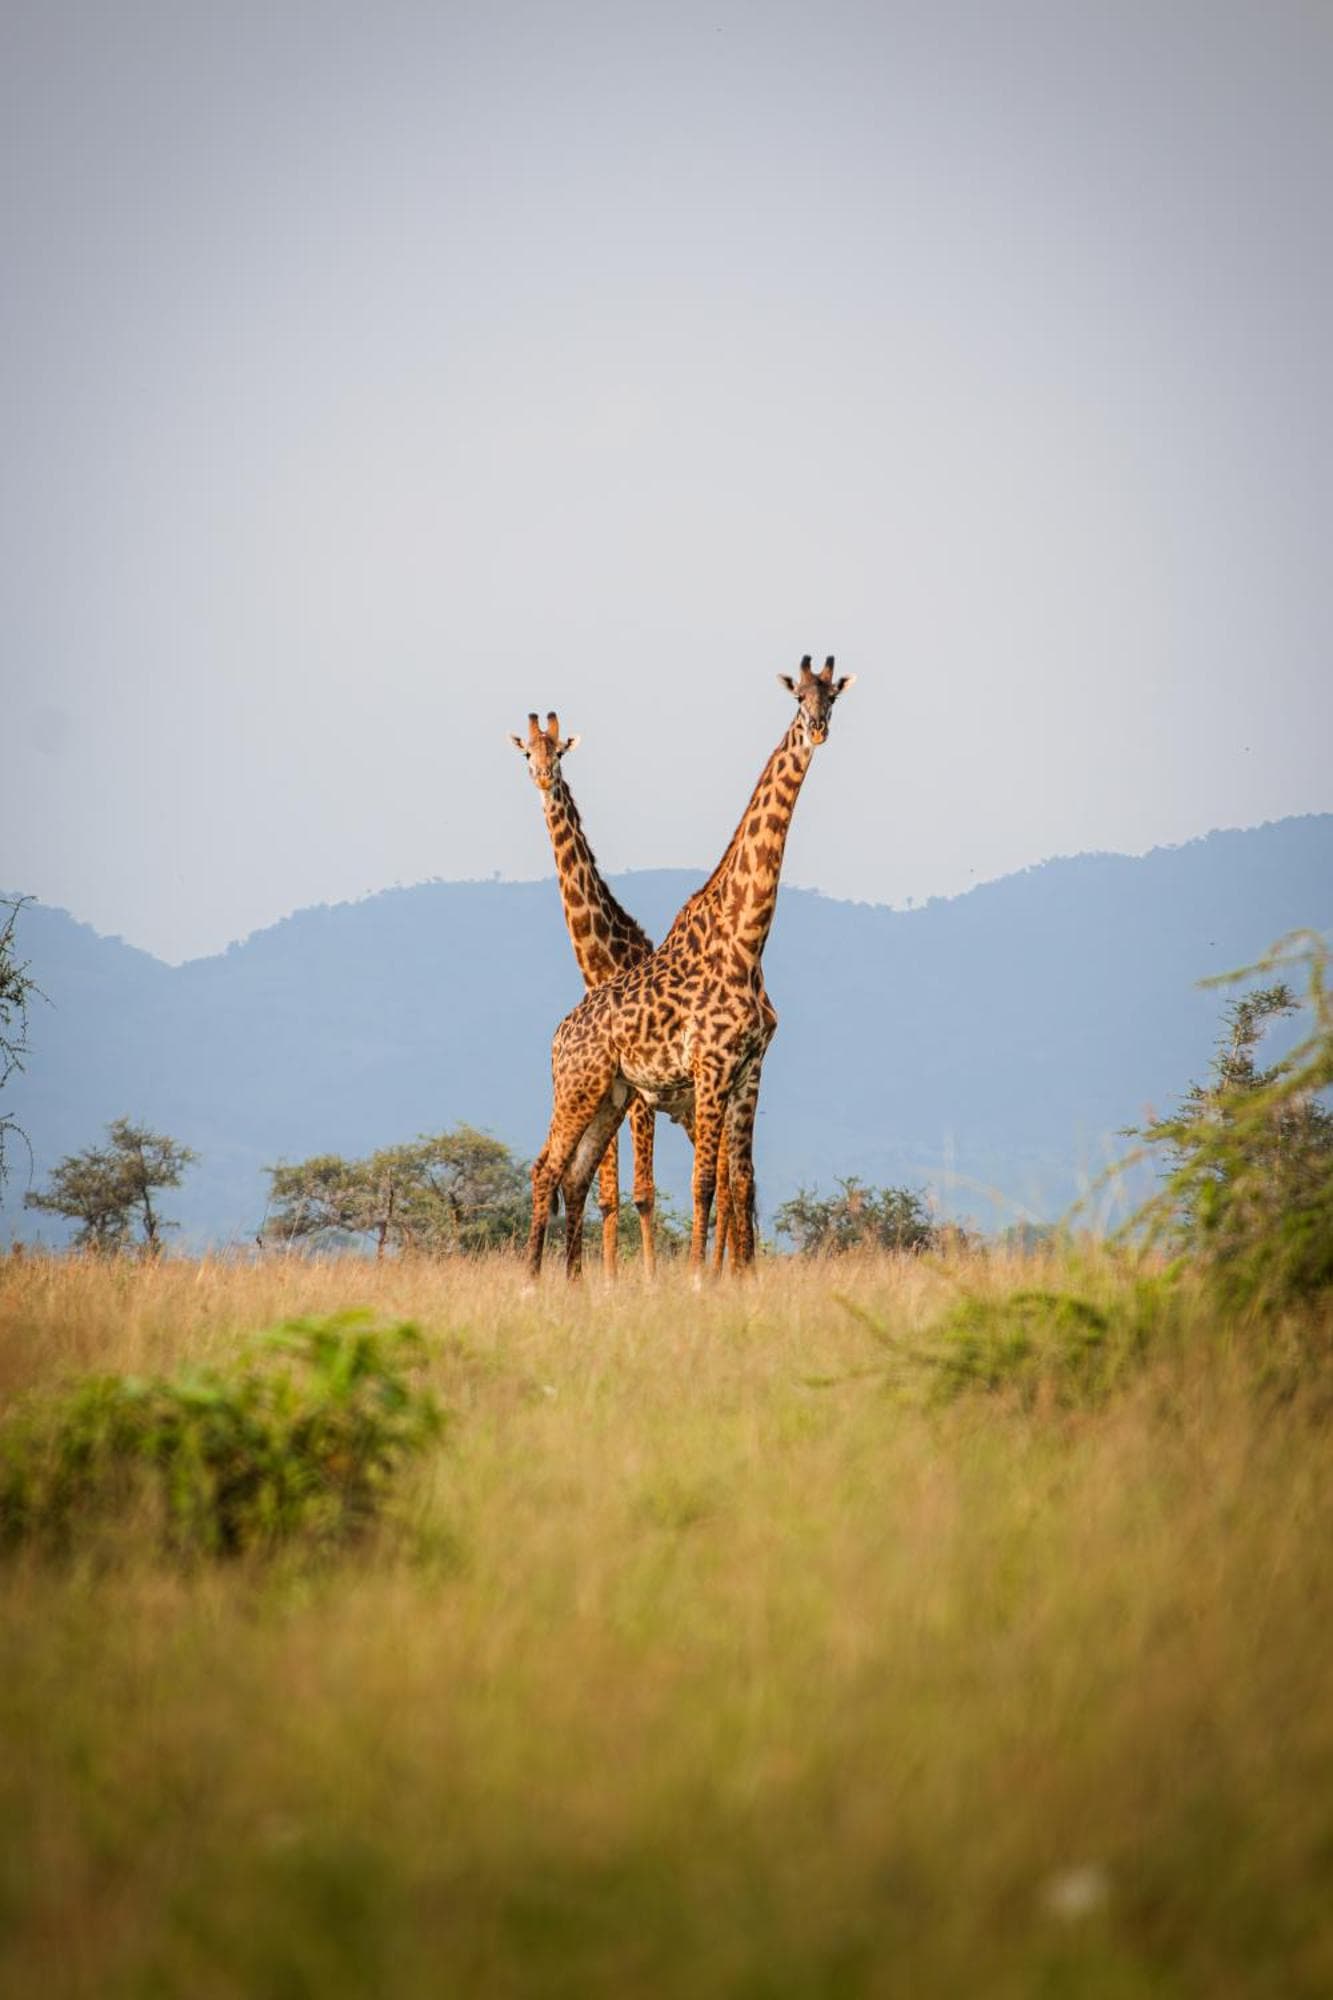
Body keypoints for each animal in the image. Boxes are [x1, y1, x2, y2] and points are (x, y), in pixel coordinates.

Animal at [524, 657, 854, 1280]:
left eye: (832, 697)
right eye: (797, 696)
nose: (817, 729)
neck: (745, 940)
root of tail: (557, 1036)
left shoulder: (747, 1070)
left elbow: (735, 1181)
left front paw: (739, 1280)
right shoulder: (706, 1070)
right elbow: (686, 1187)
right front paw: (693, 1279)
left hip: (611, 1096)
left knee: (575, 1174)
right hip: (584, 1089)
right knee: (547, 1168)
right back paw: (533, 1282)